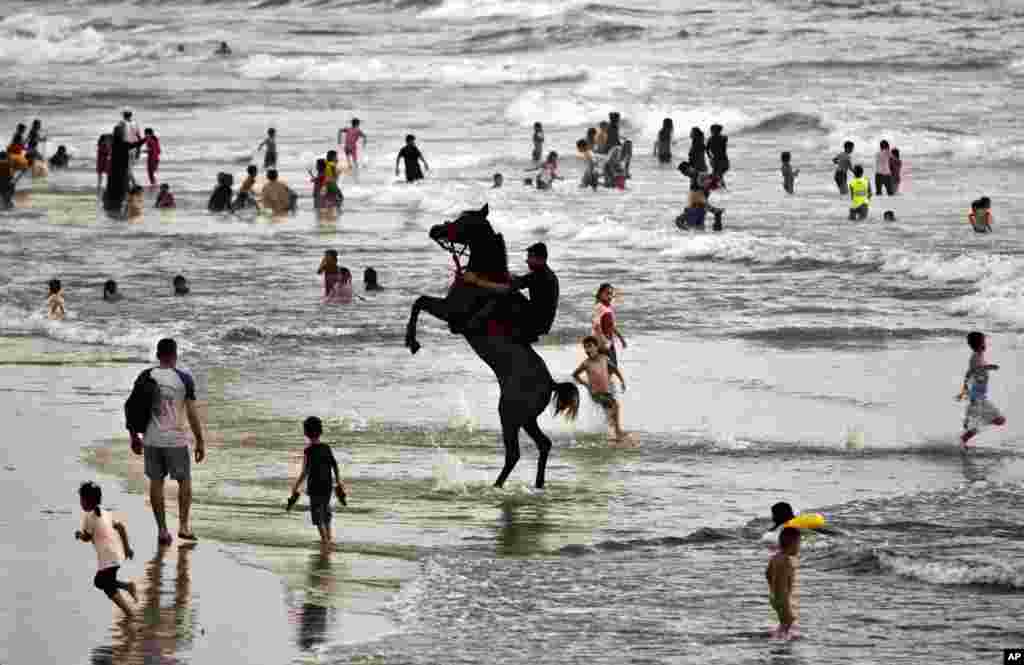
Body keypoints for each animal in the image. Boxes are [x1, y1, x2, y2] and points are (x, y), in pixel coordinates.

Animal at [405, 204, 581, 489]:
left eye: (464, 222)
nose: (435, 229)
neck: (484, 277)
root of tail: (551, 384)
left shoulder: (450, 311)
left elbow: (419, 301)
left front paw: (412, 341)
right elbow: (419, 302)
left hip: (509, 414)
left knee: (514, 452)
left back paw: (497, 486)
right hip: (526, 418)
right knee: (543, 444)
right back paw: (537, 485)